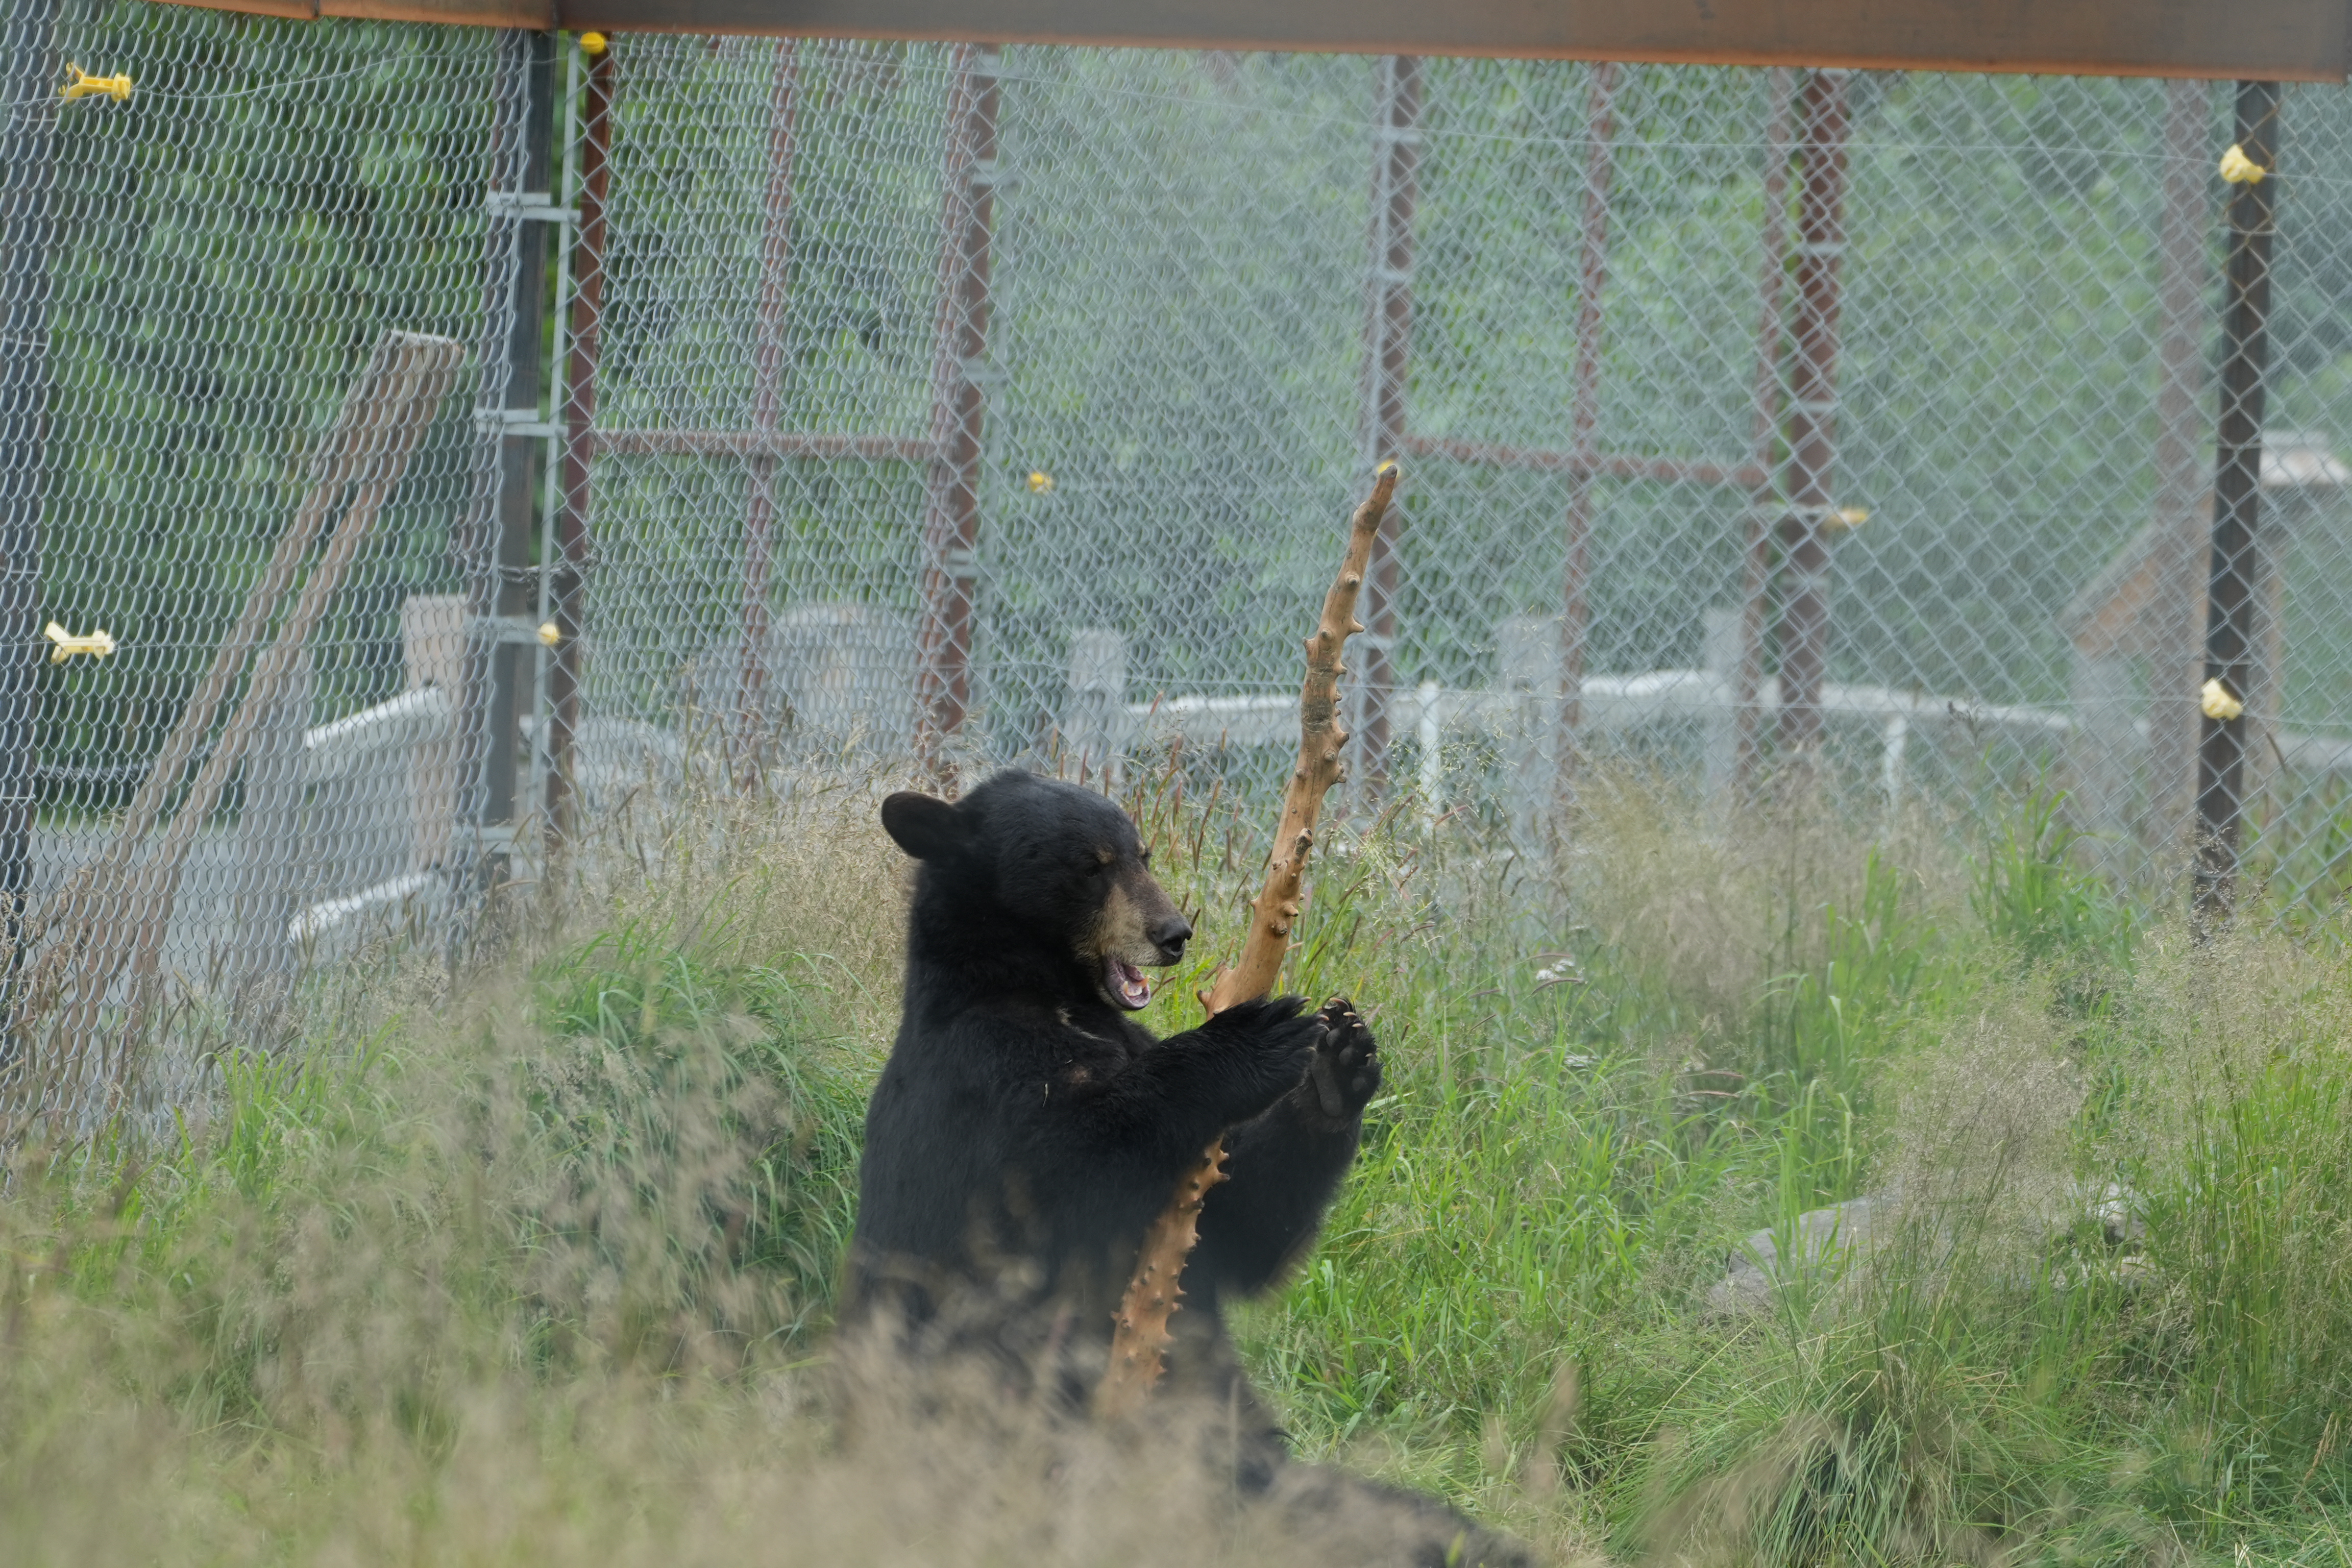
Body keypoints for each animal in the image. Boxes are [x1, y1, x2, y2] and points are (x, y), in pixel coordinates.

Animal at [841, 769, 1529, 1568]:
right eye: (1090, 866)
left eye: (1141, 852)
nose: (1173, 934)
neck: (1046, 996)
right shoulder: (982, 1080)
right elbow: (1073, 1172)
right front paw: (1253, 1036)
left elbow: (1235, 1225)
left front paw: (1339, 1063)